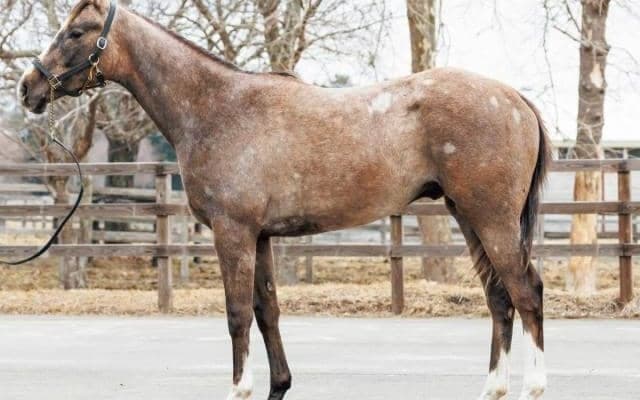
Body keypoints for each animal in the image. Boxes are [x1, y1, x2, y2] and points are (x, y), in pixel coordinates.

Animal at [18, 1, 551, 399]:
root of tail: (515, 100)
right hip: (468, 216)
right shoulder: (260, 237)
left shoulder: (233, 232)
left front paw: (239, 390)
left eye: (77, 32)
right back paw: (493, 389)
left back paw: (534, 387)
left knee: (526, 292)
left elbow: (237, 313)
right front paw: (279, 385)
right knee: (499, 297)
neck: (218, 107)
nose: (29, 88)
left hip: (492, 219)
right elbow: (266, 310)